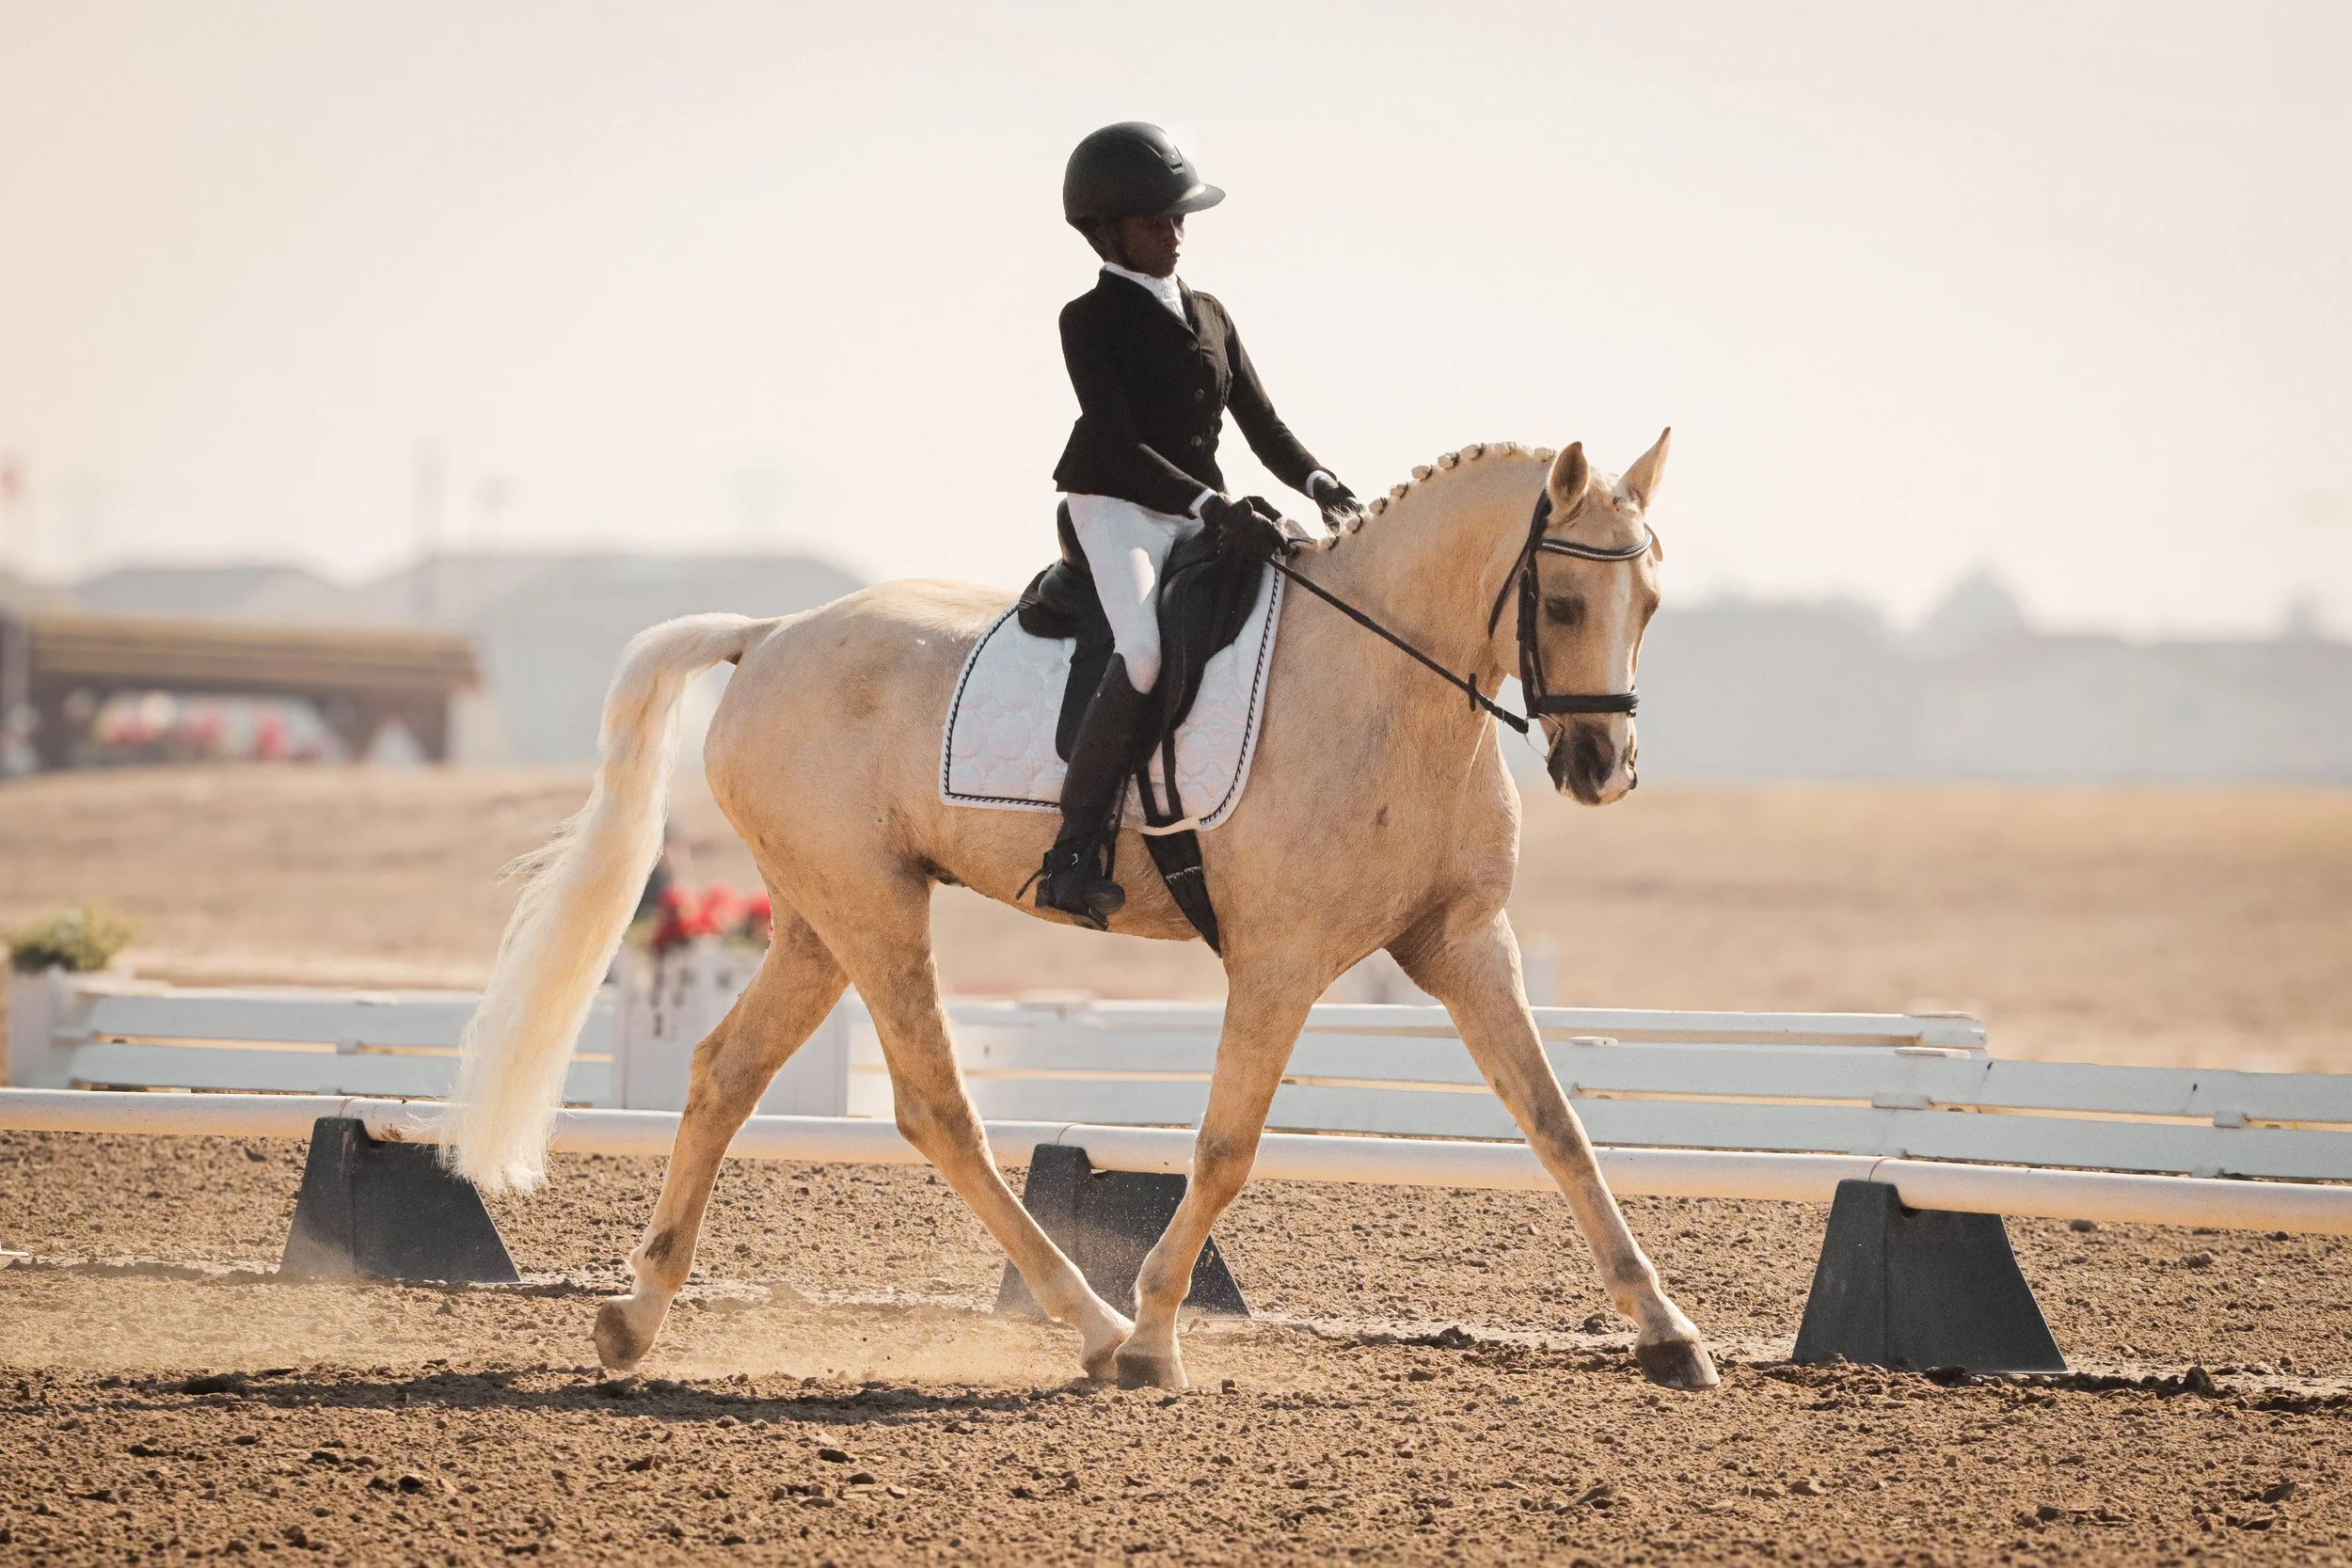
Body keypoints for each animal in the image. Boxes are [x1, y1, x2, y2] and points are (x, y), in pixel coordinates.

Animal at [444, 431, 1719, 1393]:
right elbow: (1224, 1146)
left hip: (819, 915)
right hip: (871, 906)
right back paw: (1098, 1327)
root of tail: (767, 636)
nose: (1603, 769)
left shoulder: (1463, 944)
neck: (1389, 686)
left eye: (1652, 600)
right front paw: (1156, 1335)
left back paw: (634, 1316)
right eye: (1564, 600)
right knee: (934, 1107)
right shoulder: (1280, 960)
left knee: (724, 1071)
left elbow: (1558, 1125)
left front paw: (1668, 1332)